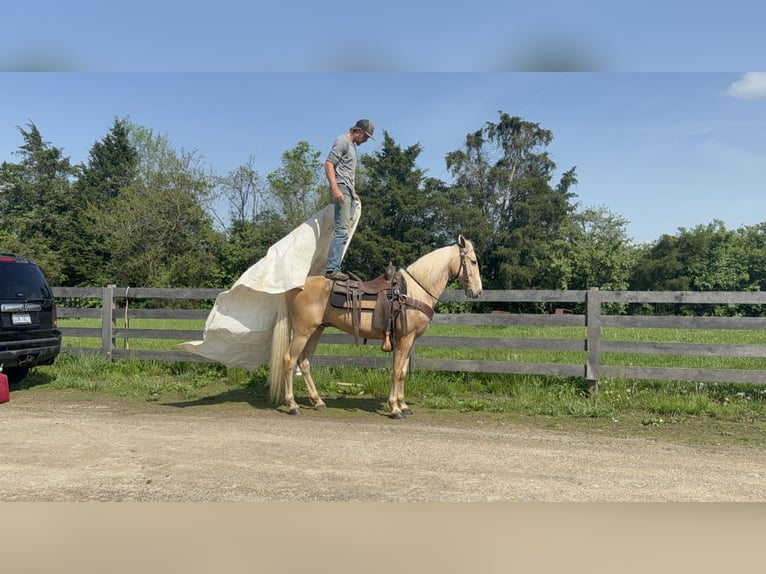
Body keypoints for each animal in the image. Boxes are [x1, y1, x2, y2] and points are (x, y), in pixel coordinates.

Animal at [268, 234, 483, 419]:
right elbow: (397, 372)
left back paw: (318, 401)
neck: (414, 291)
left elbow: (401, 371)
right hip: (302, 332)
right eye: (472, 261)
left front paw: (403, 405)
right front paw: (395, 409)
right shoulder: (405, 339)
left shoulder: (408, 341)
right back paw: (293, 405)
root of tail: (296, 286)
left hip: (316, 331)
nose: (478, 292)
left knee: (304, 363)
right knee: (289, 361)